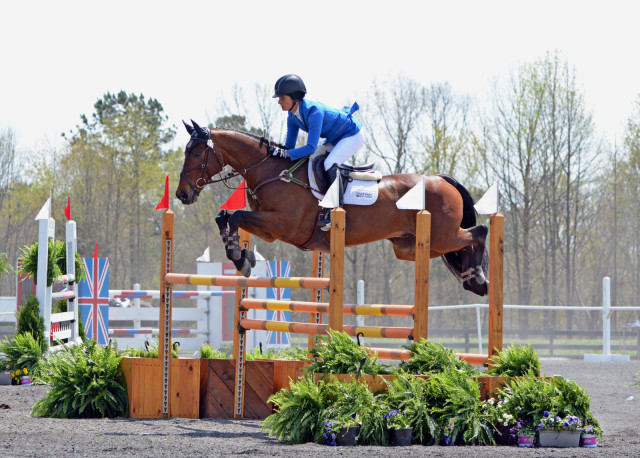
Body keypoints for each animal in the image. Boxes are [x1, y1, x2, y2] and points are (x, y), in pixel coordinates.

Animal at [175, 120, 490, 296]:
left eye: (197, 152)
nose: (182, 194)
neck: (271, 172)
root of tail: (441, 179)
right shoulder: (270, 231)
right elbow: (226, 217)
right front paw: (241, 256)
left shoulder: (283, 225)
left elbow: (236, 215)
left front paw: (240, 258)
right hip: (413, 247)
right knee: (462, 245)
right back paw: (474, 280)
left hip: (441, 236)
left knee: (480, 232)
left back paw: (479, 277)